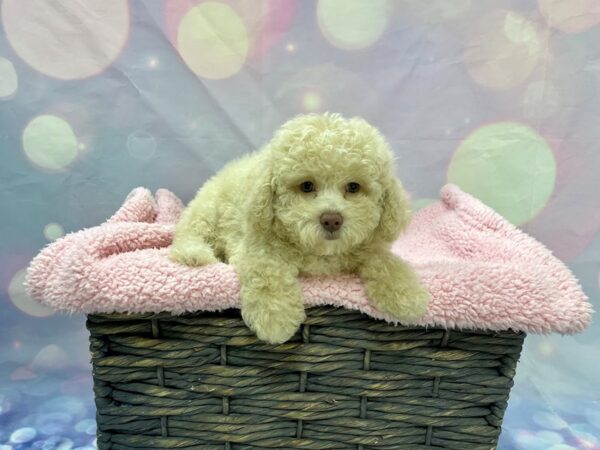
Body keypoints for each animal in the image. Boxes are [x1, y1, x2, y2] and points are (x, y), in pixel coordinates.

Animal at [171, 114, 428, 342]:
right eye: (306, 186)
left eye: (353, 187)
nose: (332, 219)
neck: (320, 251)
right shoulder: (253, 247)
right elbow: (267, 273)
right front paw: (276, 319)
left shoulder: (368, 247)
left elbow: (385, 262)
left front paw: (406, 294)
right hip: (206, 210)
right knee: (187, 234)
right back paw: (194, 254)